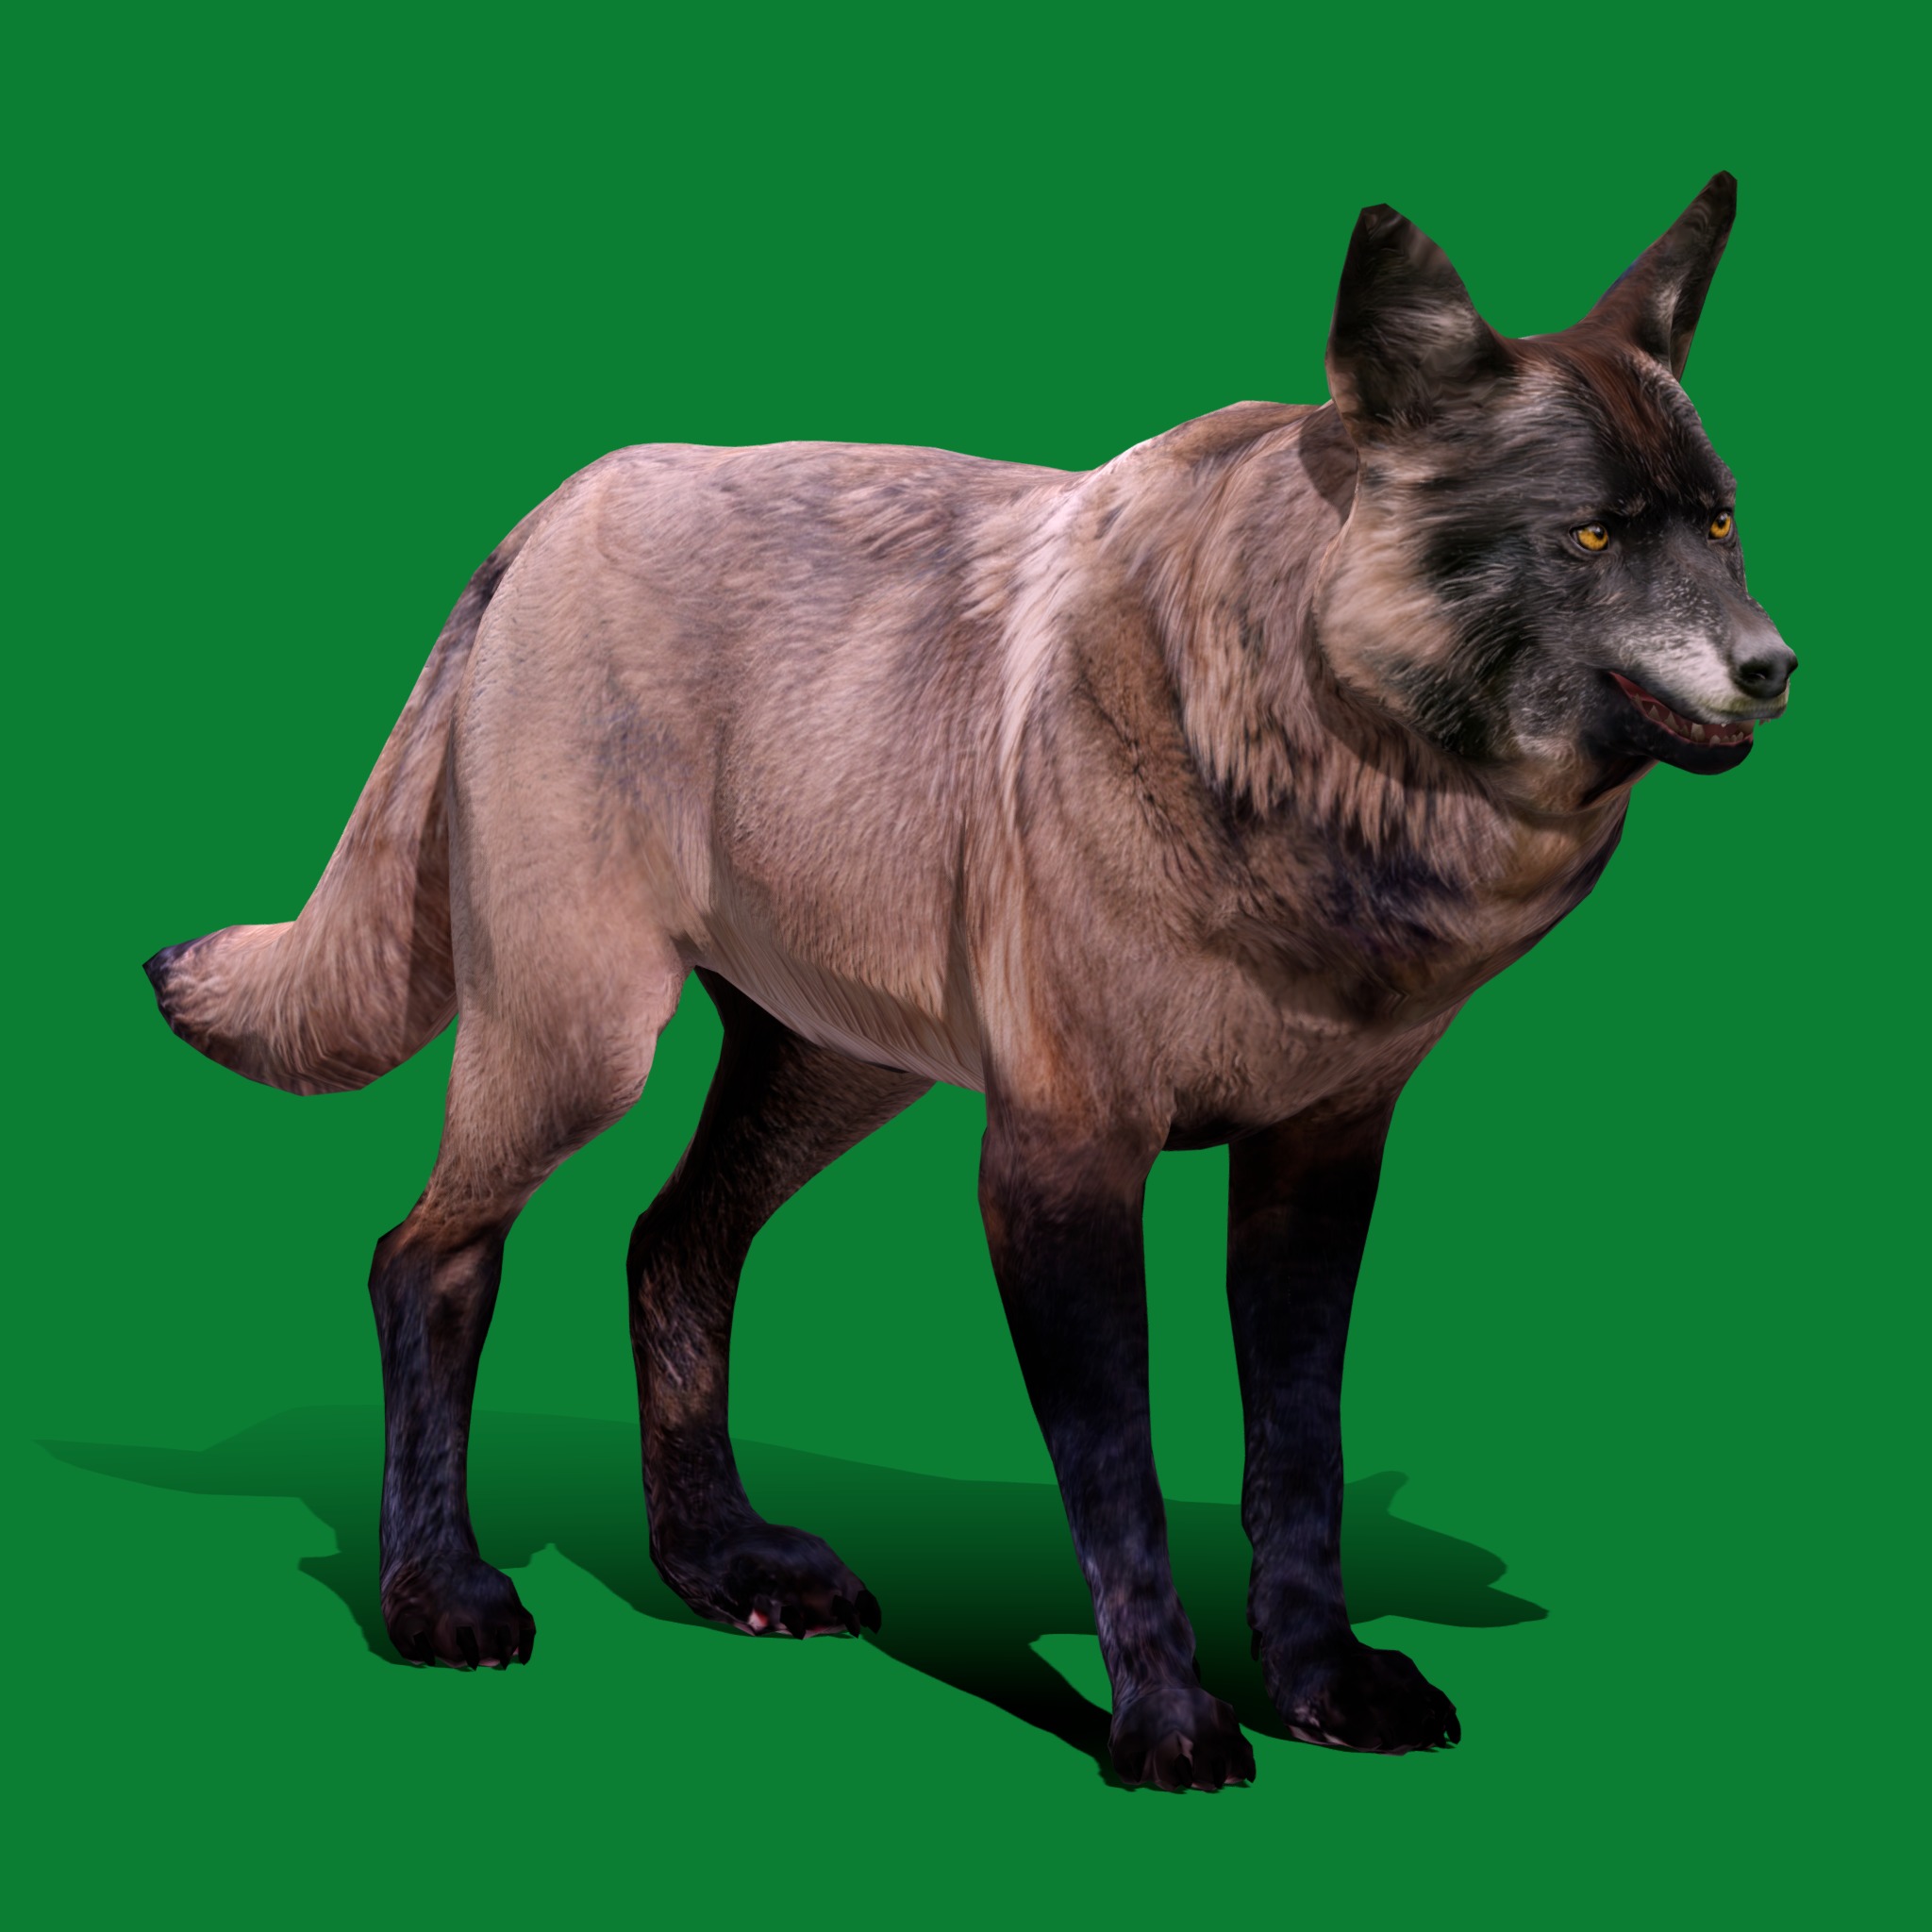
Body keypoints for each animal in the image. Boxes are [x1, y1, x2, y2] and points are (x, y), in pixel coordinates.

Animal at [145, 173, 1791, 1789]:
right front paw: (1167, 1728)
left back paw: (719, 1565)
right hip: (583, 1048)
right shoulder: (1058, 1166)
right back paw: (439, 1594)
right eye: (1592, 537)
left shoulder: (1316, 1164)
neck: (1304, 776)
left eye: (1719, 524)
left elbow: (1299, 1458)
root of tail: (550, 510)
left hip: (832, 1075)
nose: (1777, 666)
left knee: (670, 1247)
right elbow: (1119, 1480)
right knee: (425, 1257)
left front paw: (1321, 1686)